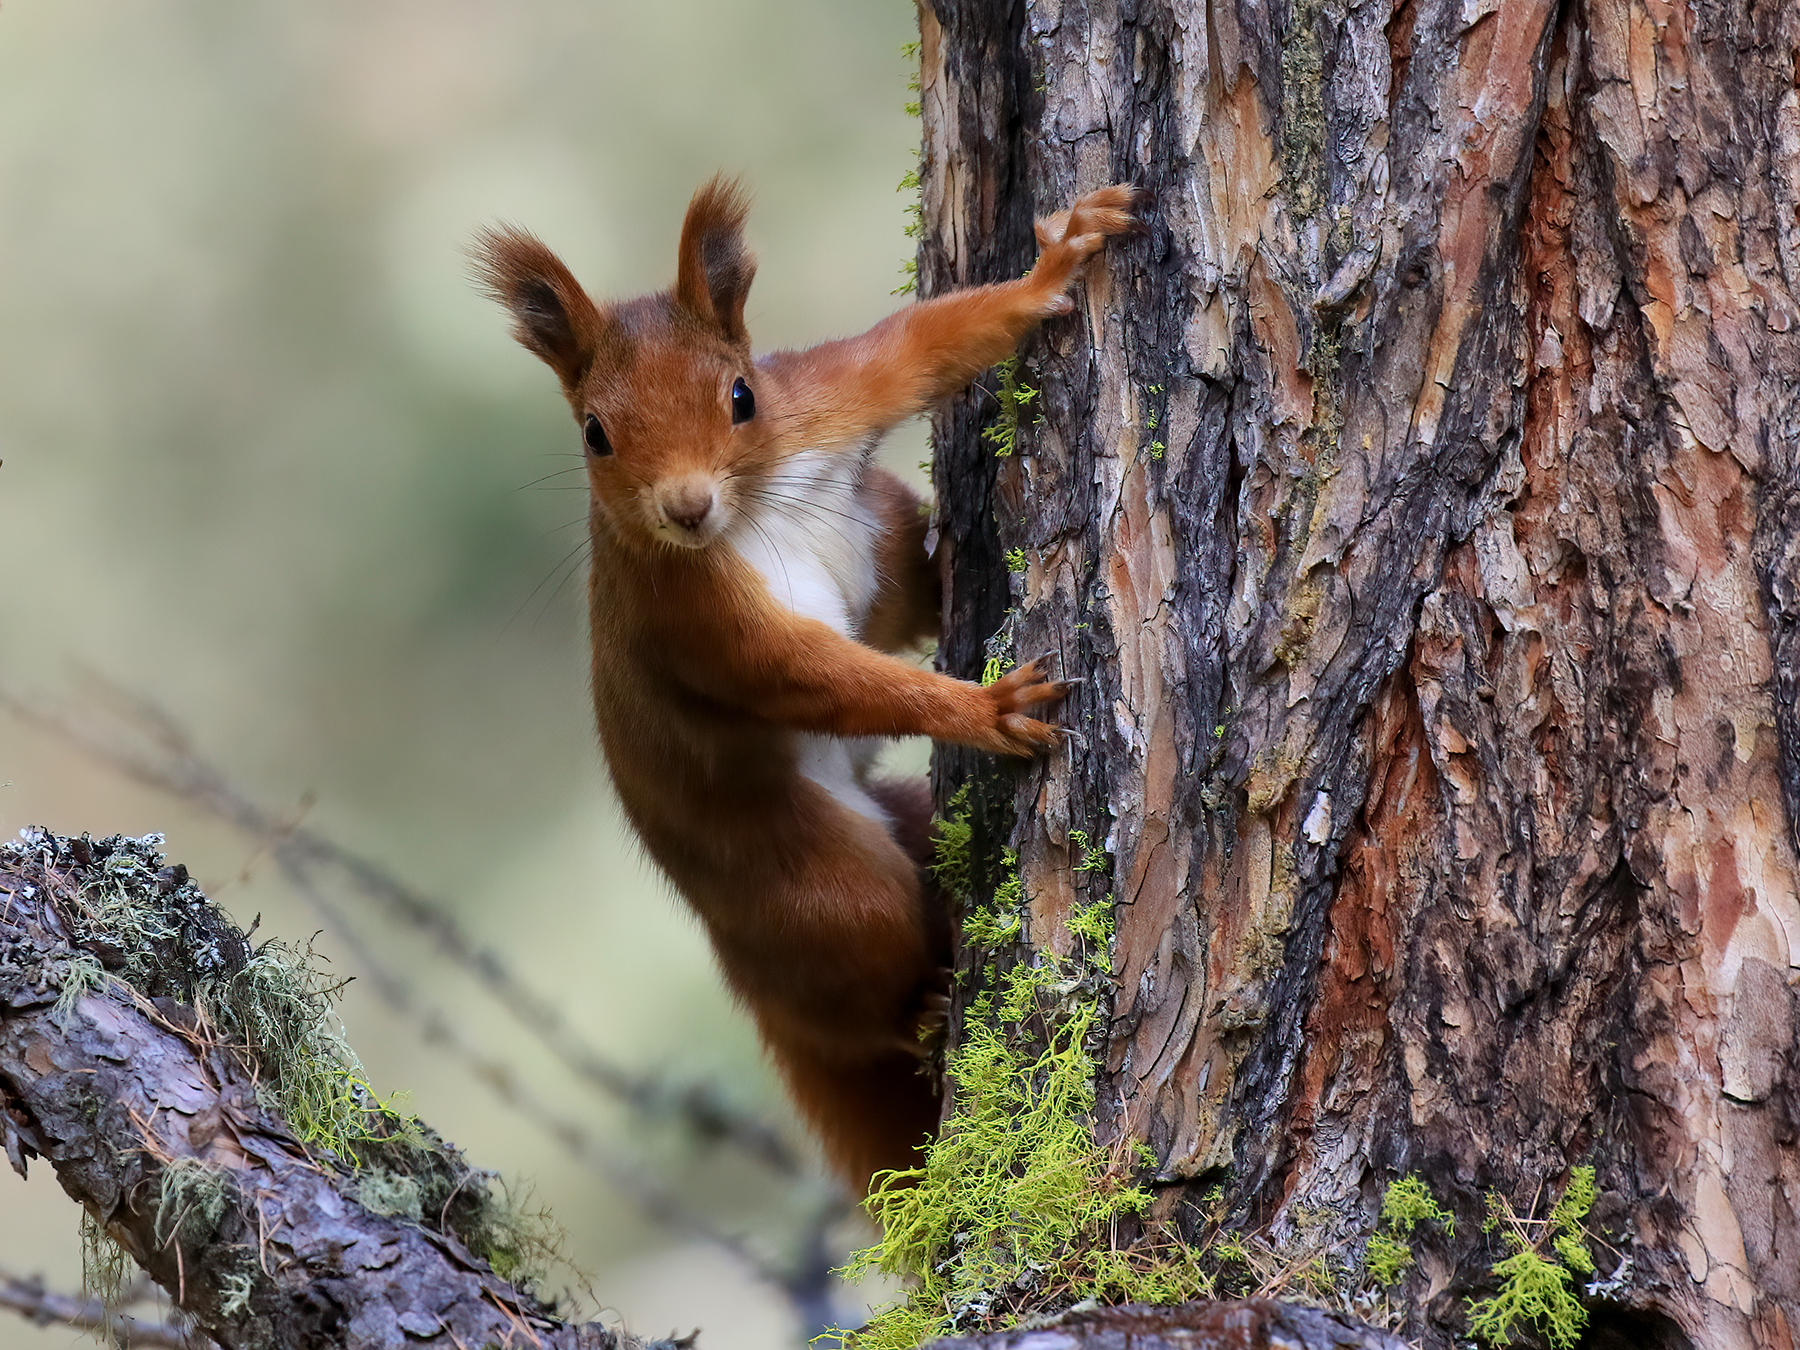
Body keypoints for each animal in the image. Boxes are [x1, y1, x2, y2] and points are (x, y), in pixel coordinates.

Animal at [476, 177, 1140, 1192]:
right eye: (594, 435)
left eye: (742, 396)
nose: (685, 508)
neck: (751, 510)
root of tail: (747, 971)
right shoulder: (689, 619)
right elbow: (815, 680)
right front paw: (984, 710)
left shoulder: (826, 397)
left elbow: (920, 346)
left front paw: (1055, 263)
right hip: (821, 890)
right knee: (863, 995)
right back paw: (922, 1015)